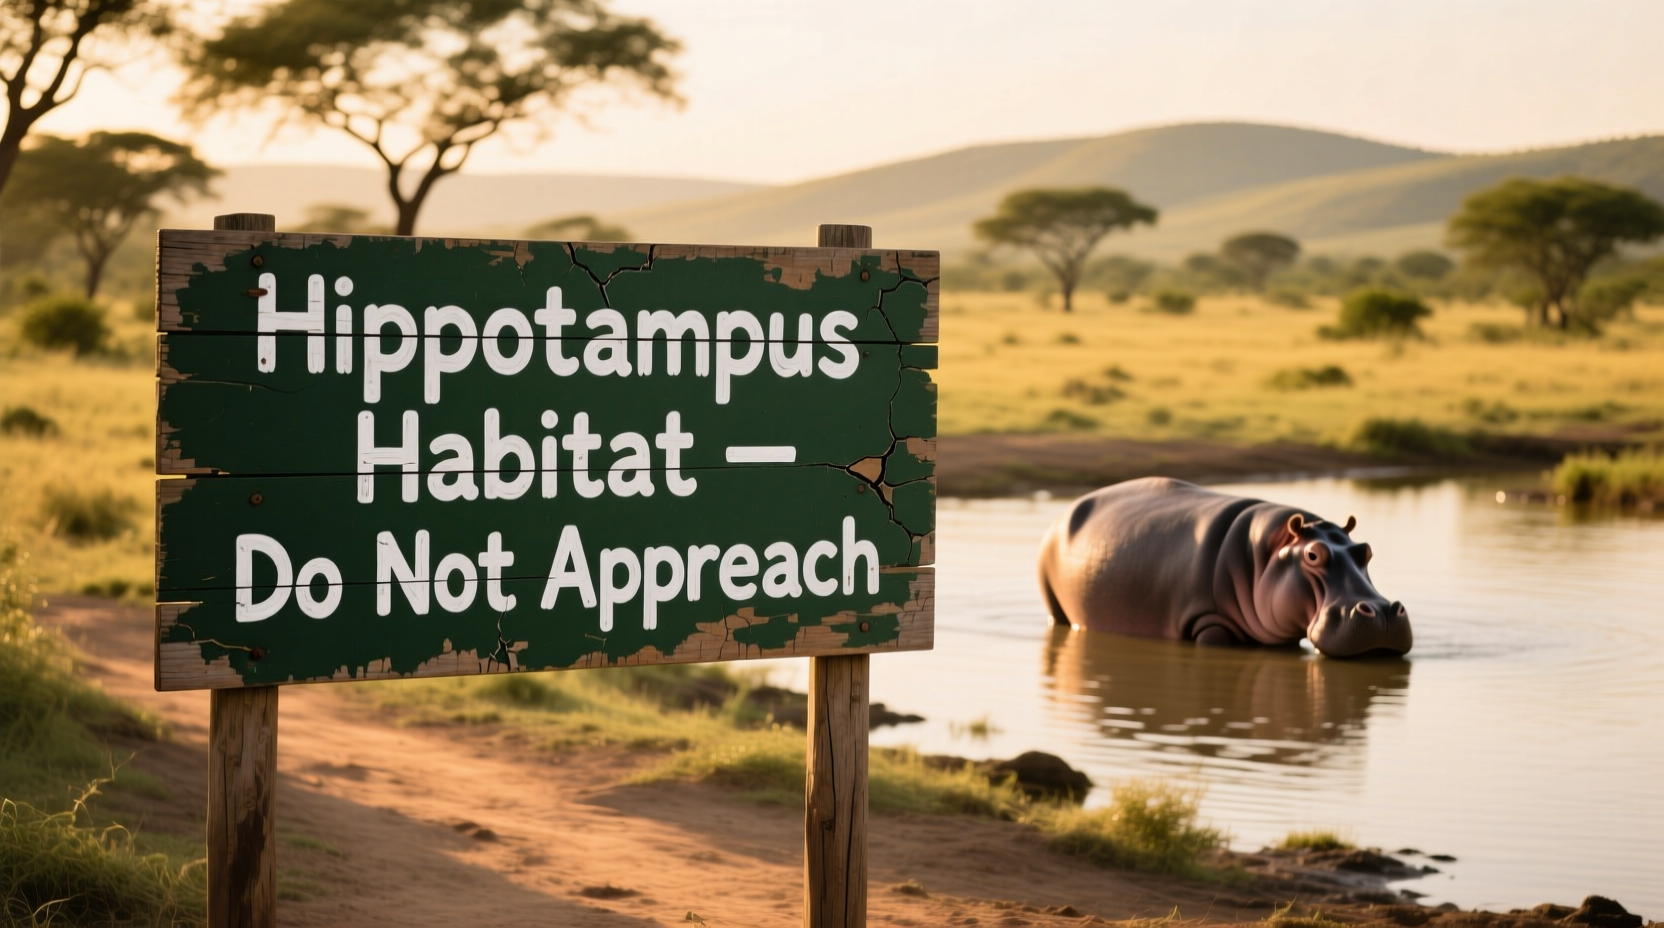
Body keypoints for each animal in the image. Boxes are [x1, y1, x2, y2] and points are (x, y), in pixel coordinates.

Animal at [1037, 477, 1411, 657]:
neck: (1264, 555)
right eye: (1313, 555)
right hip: (1054, 604)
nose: (1382, 612)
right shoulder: (1209, 621)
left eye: (1366, 551)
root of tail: (1067, 509)